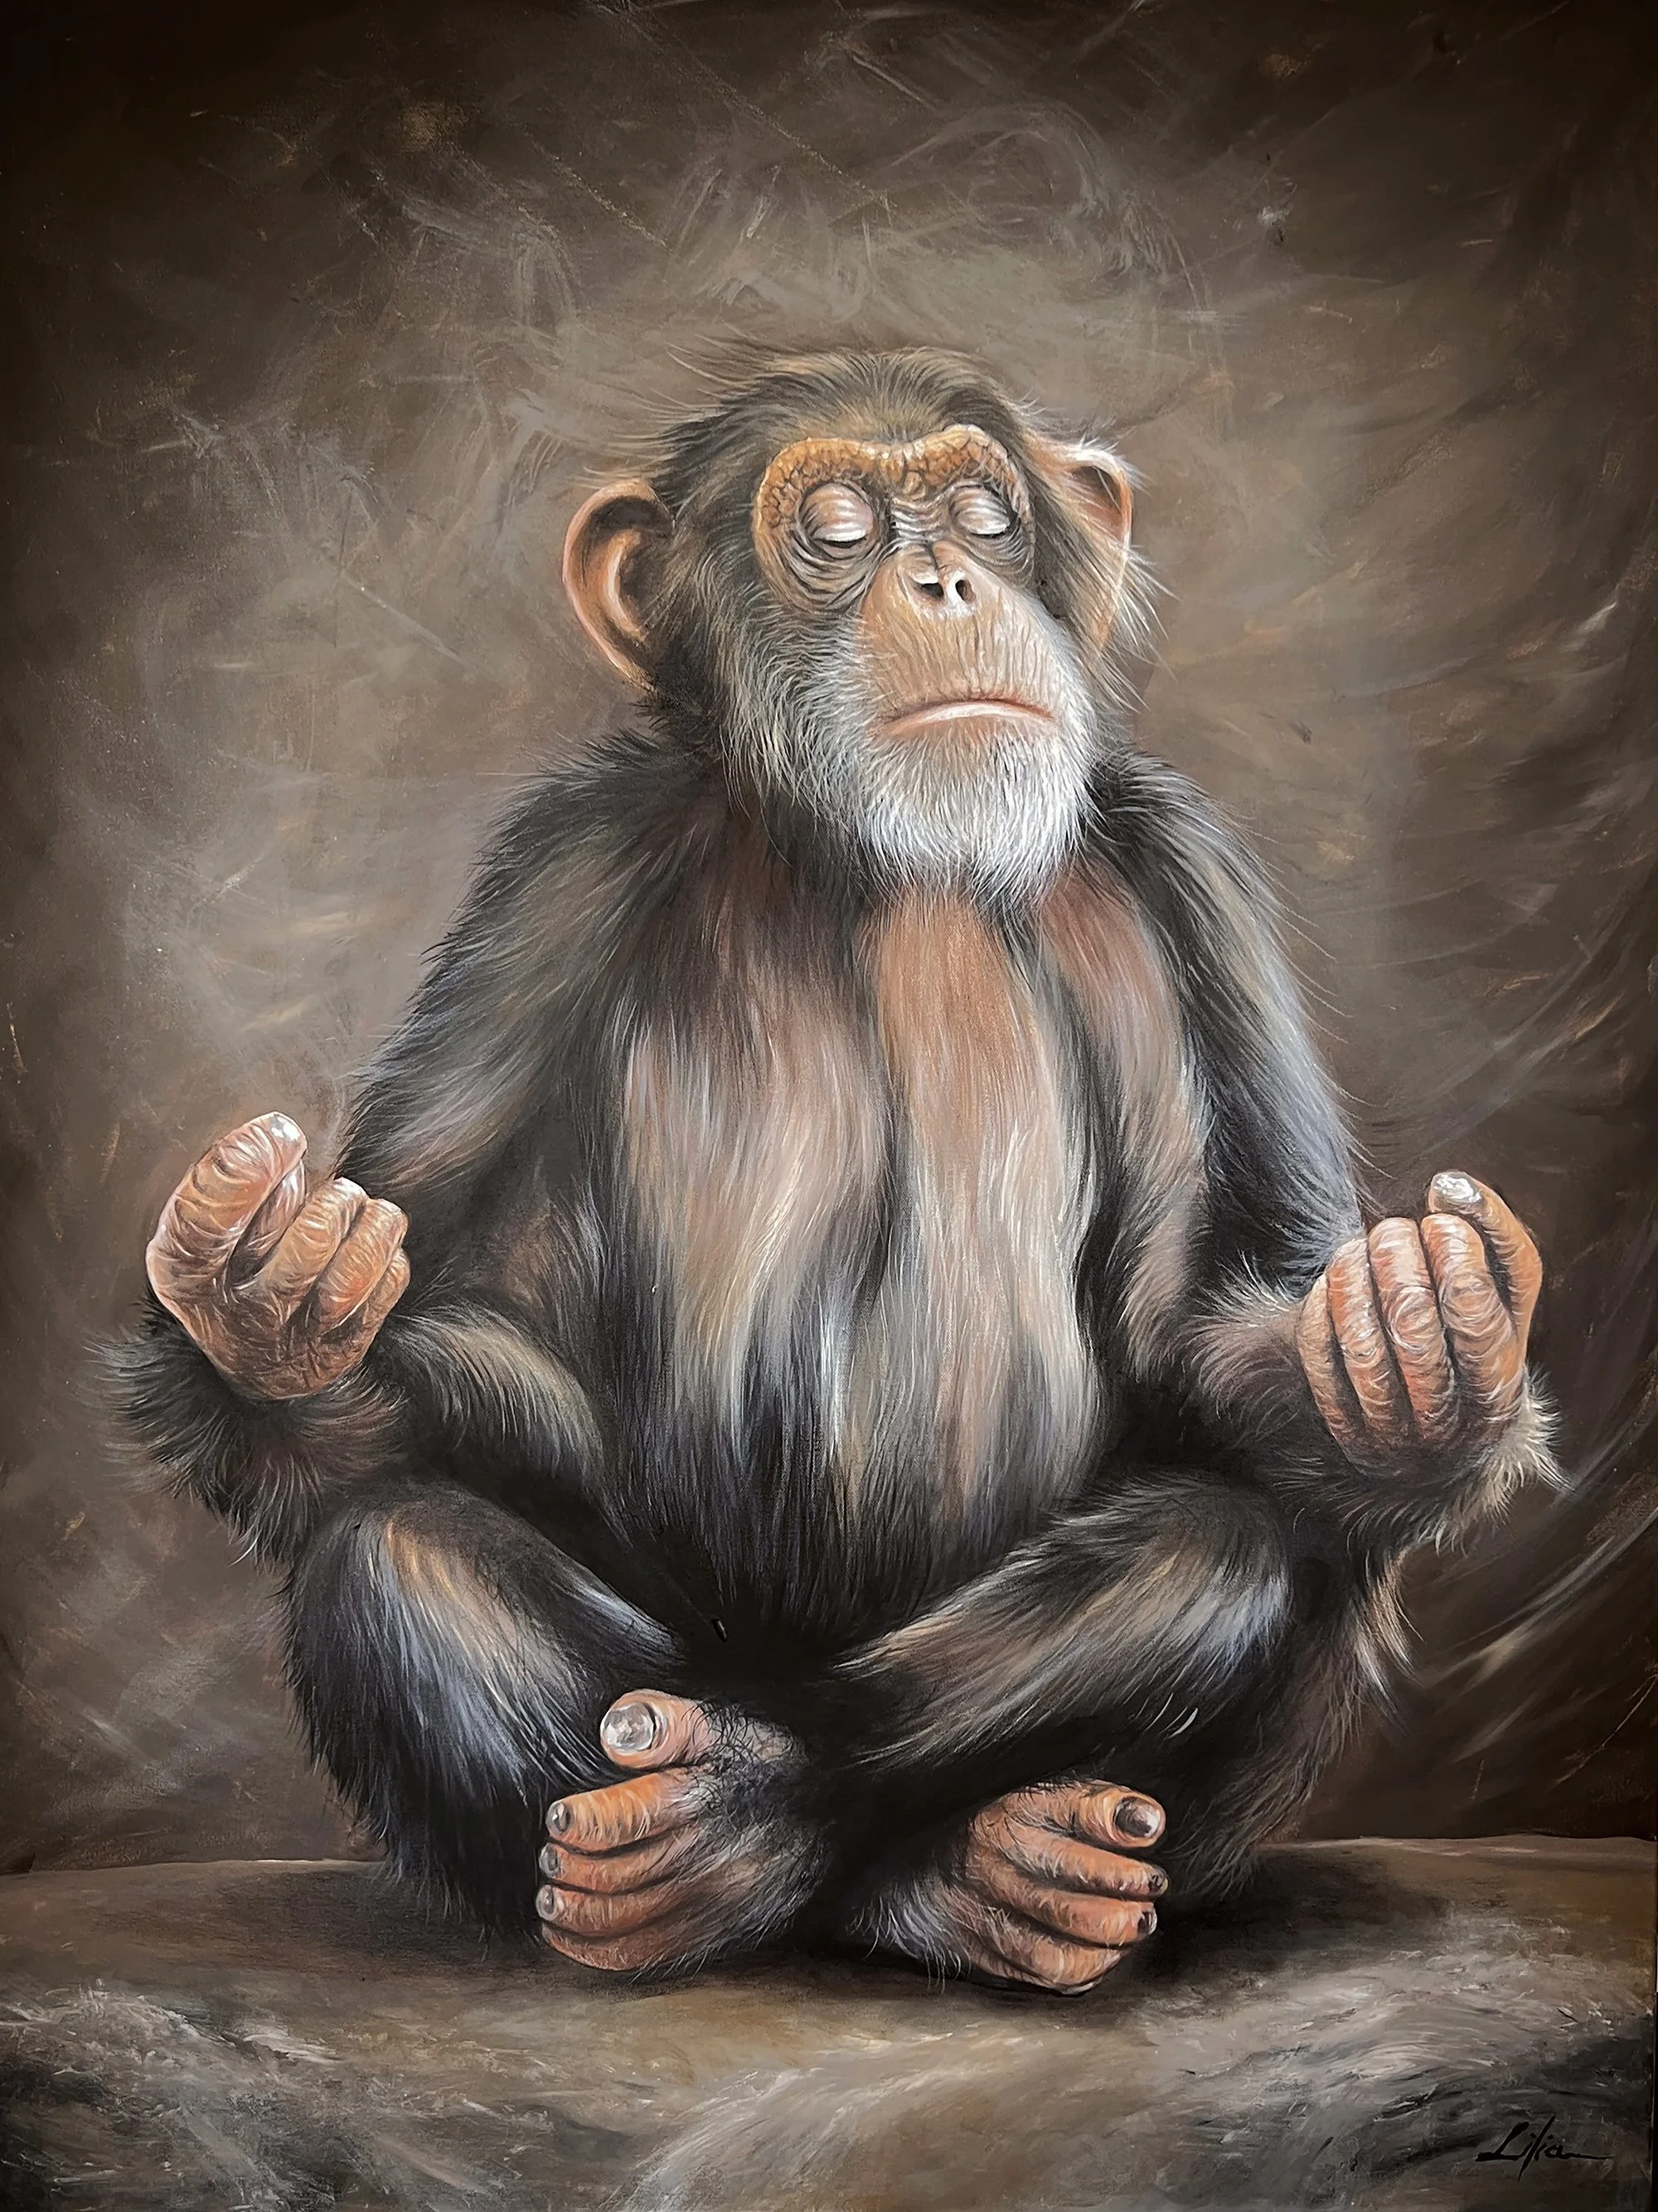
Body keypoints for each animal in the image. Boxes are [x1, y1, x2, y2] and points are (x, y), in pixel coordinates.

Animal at [118, 349, 1557, 1996]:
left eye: (984, 513)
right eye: (839, 528)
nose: (944, 580)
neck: (886, 851)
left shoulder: (1200, 877)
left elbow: (1232, 1321)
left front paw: (1415, 1358)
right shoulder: (556, 878)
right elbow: (449, 1324)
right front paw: (271, 1316)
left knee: (1224, 1551)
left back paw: (911, 1853)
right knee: (393, 1555)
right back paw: (723, 1870)